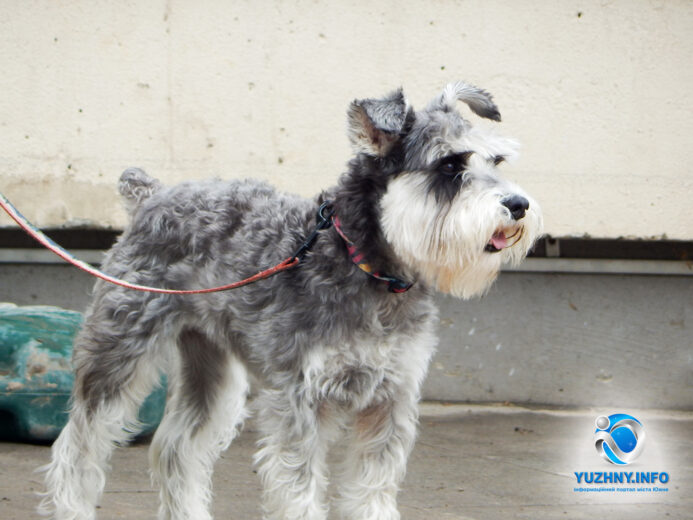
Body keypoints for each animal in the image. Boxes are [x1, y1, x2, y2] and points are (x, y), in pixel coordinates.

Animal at [40, 82, 544, 520]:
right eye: (449, 166)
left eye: (497, 159)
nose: (518, 204)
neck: (367, 266)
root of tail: (150, 196)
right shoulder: (301, 402)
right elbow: (299, 490)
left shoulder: (390, 401)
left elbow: (372, 489)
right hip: (116, 355)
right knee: (78, 448)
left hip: (213, 372)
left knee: (176, 450)